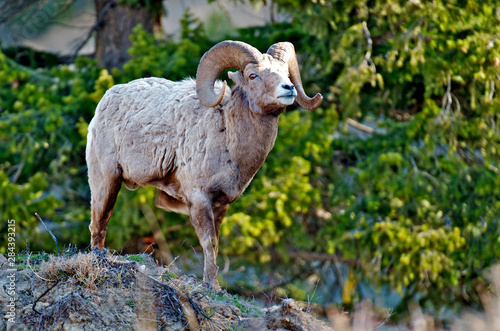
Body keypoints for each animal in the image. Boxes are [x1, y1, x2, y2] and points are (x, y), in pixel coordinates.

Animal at [87, 40, 322, 286]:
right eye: (253, 75)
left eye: (285, 73)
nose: (288, 88)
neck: (227, 135)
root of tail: (103, 103)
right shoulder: (200, 198)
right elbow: (208, 243)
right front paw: (211, 285)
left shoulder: (221, 204)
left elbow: (215, 246)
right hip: (107, 181)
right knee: (99, 222)